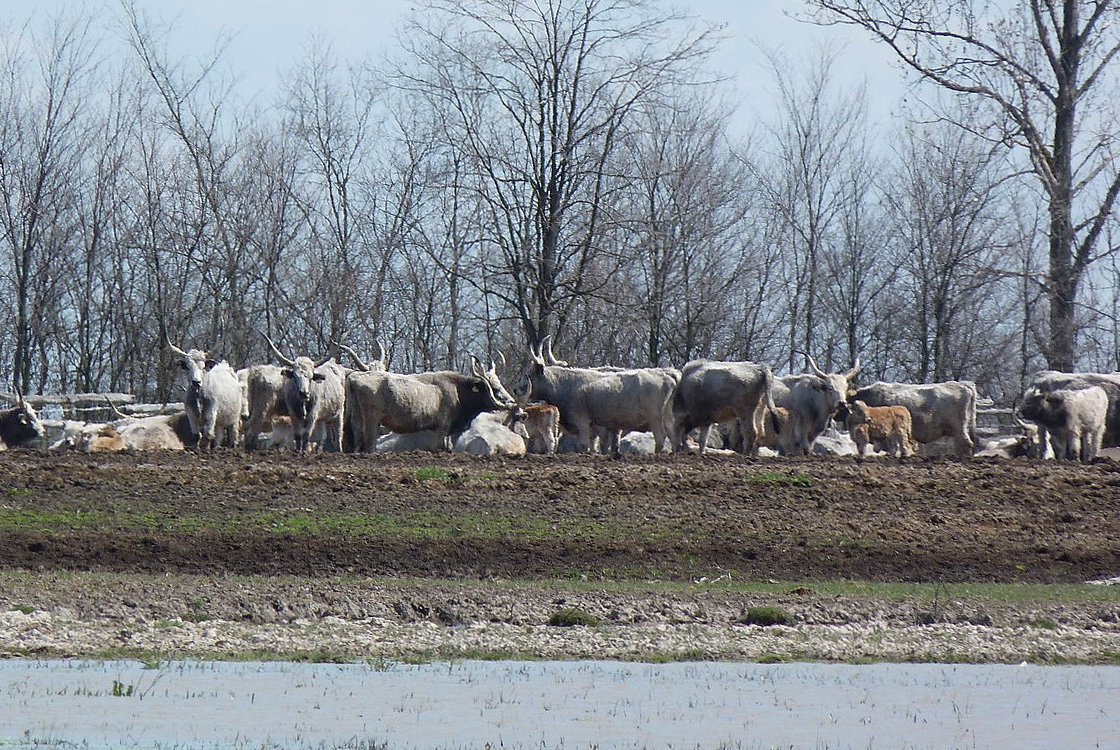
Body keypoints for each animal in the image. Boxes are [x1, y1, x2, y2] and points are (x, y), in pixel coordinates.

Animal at [344, 353, 515, 452]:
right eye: (494, 388)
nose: (512, 402)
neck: (457, 390)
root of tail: (355, 376)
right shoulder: (442, 428)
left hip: (357, 418)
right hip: (372, 419)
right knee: (369, 442)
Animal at [519, 344, 676, 454]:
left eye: (529, 375)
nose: (516, 389)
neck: (566, 384)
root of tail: (667, 375)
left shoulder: (584, 423)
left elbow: (587, 445)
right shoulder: (603, 427)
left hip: (656, 418)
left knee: (660, 438)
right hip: (667, 418)